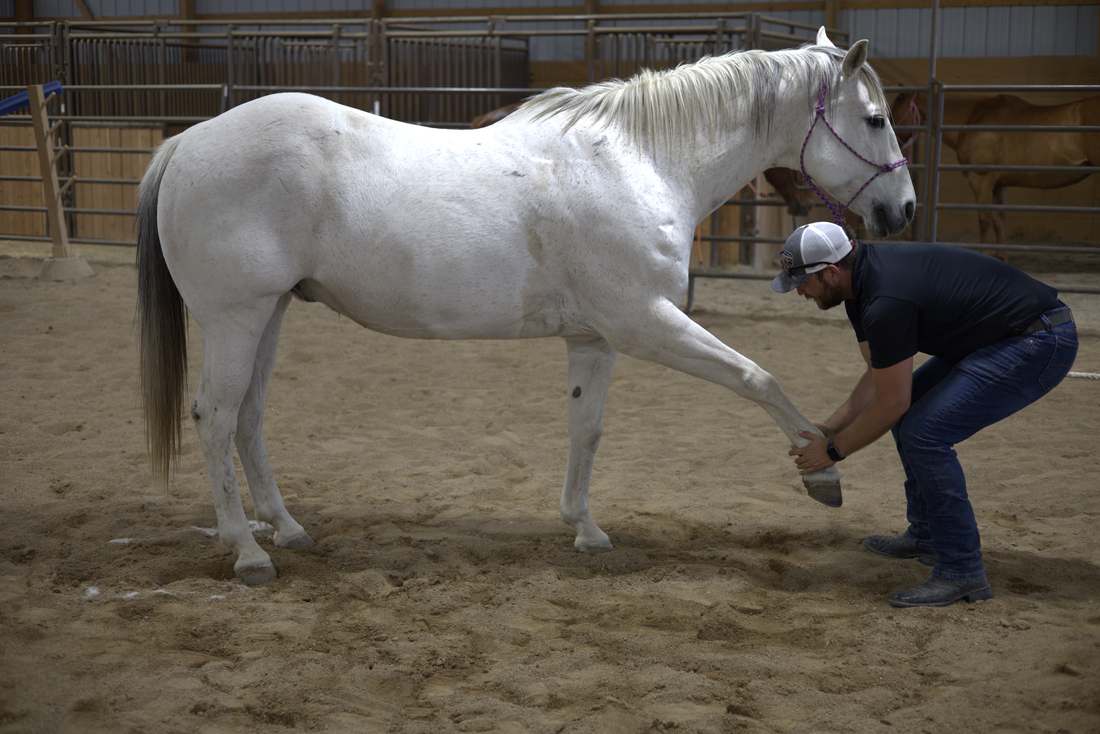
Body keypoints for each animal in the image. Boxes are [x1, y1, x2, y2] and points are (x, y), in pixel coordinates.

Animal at [137, 28, 914, 584]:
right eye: (876, 119)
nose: (902, 210)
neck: (639, 161)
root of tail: (187, 142)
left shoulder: (595, 339)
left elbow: (586, 429)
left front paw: (585, 528)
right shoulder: (645, 323)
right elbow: (759, 377)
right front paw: (820, 469)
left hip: (270, 314)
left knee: (249, 417)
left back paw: (287, 528)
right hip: (236, 318)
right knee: (215, 418)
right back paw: (249, 553)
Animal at [891, 90, 1100, 243]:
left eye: (894, 114)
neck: (972, 119)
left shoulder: (981, 180)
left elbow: (984, 221)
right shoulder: (998, 185)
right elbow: (999, 222)